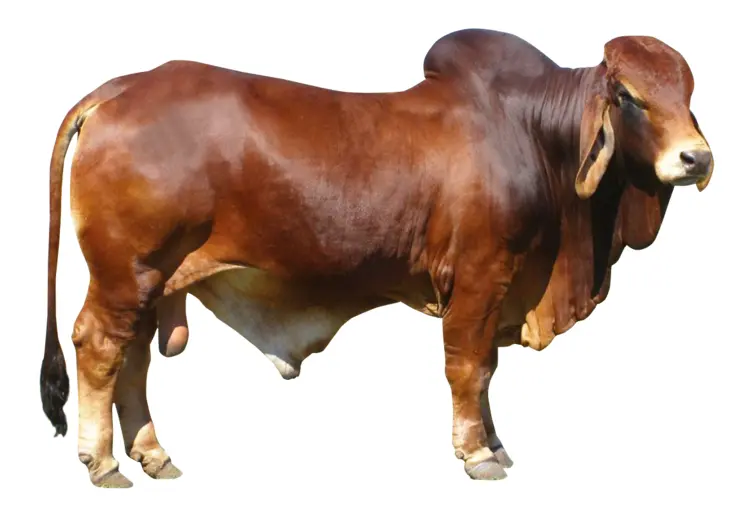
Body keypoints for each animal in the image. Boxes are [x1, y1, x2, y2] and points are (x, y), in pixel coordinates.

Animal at [40, 28, 713, 488]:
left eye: (687, 91)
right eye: (627, 95)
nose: (696, 159)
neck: (535, 134)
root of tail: (121, 88)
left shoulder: (499, 291)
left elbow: (488, 369)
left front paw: (494, 443)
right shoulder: (479, 278)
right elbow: (469, 368)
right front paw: (476, 453)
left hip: (151, 280)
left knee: (132, 358)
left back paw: (153, 455)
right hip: (126, 272)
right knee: (99, 347)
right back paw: (102, 462)